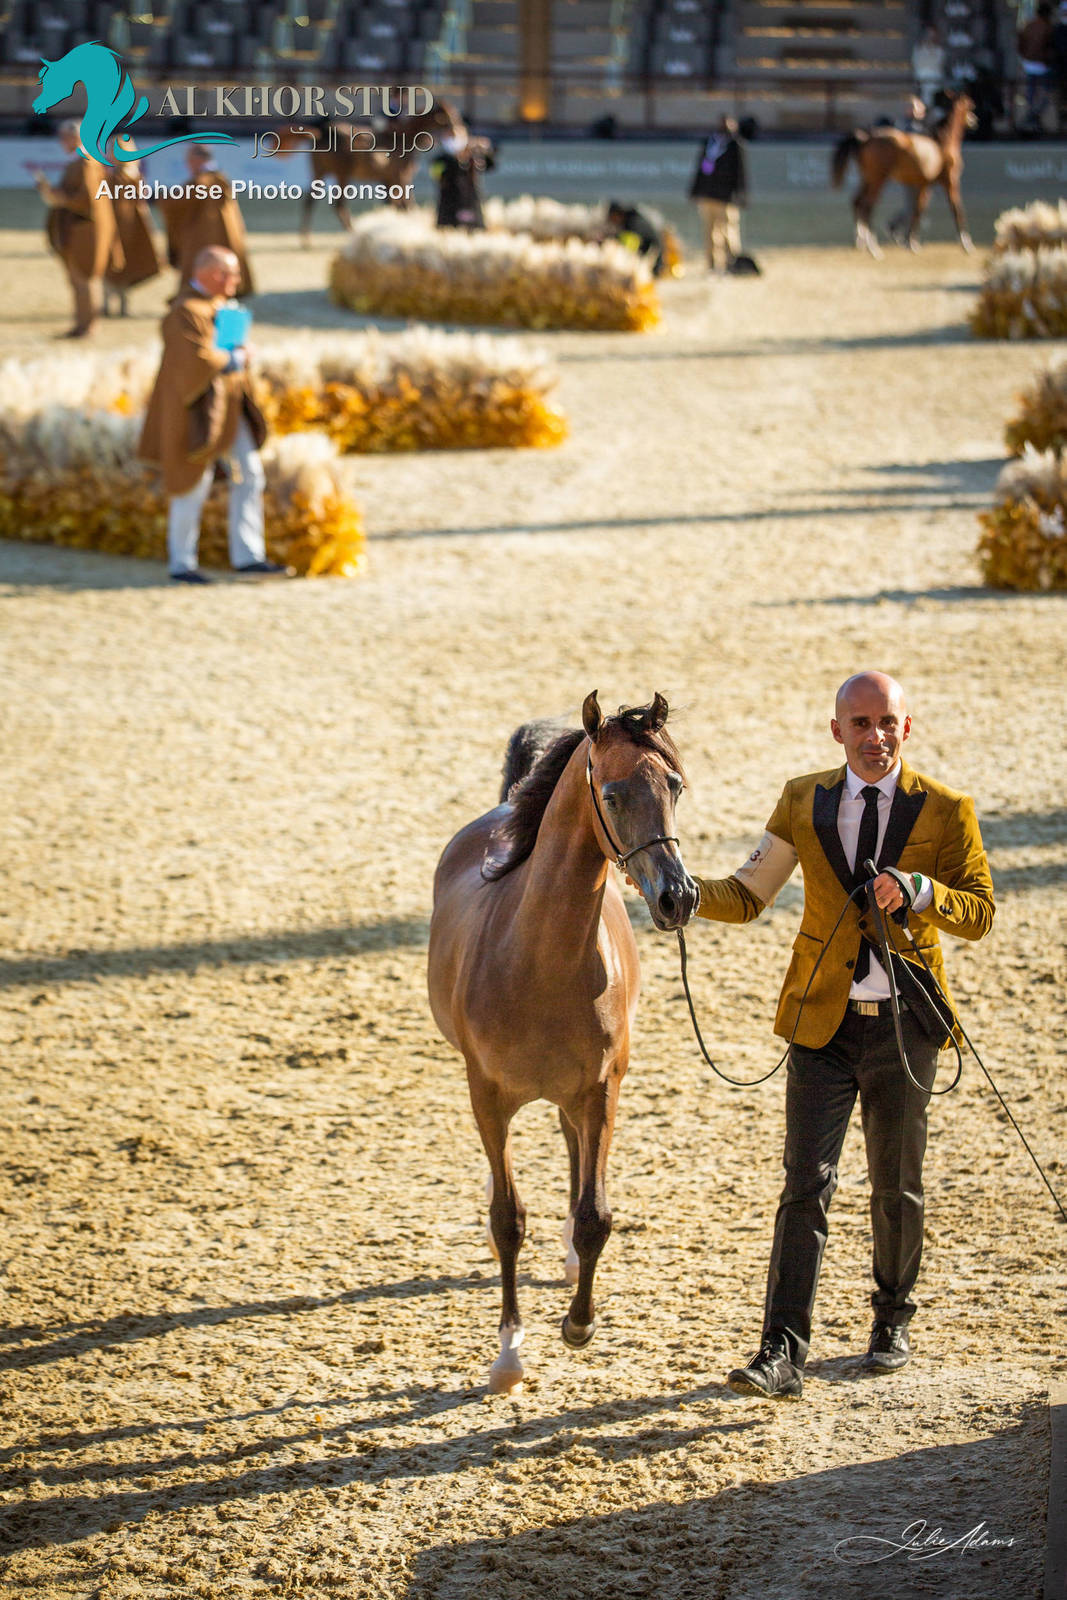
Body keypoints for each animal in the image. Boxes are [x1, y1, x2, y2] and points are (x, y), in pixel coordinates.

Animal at [272, 101, 459, 245]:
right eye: (448, 115)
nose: (457, 130)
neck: (403, 138)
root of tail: (323, 132)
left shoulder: (389, 180)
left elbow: (397, 205)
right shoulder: (401, 177)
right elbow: (406, 204)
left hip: (320, 172)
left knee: (309, 201)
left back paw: (307, 240)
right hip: (342, 174)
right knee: (339, 204)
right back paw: (352, 231)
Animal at [427, 692, 699, 1395]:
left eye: (675, 786)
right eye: (612, 794)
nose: (678, 897)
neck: (538, 959)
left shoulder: (602, 1088)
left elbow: (596, 1213)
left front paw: (579, 1324)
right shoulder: (487, 1098)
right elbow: (507, 1219)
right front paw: (509, 1355)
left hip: (579, 1096)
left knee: (576, 1152)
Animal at [831, 92, 976, 257]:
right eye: (970, 105)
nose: (974, 120)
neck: (943, 142)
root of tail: (866, 138)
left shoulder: (923, 184)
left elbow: (918, 209)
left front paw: (910, 241)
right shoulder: (950, 182)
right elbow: (956, 209)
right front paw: (967, 244)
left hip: (867, 178)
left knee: (857, 201)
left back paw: (862, 241)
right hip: (878, 180)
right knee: (867, 206)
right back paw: (873, 248)